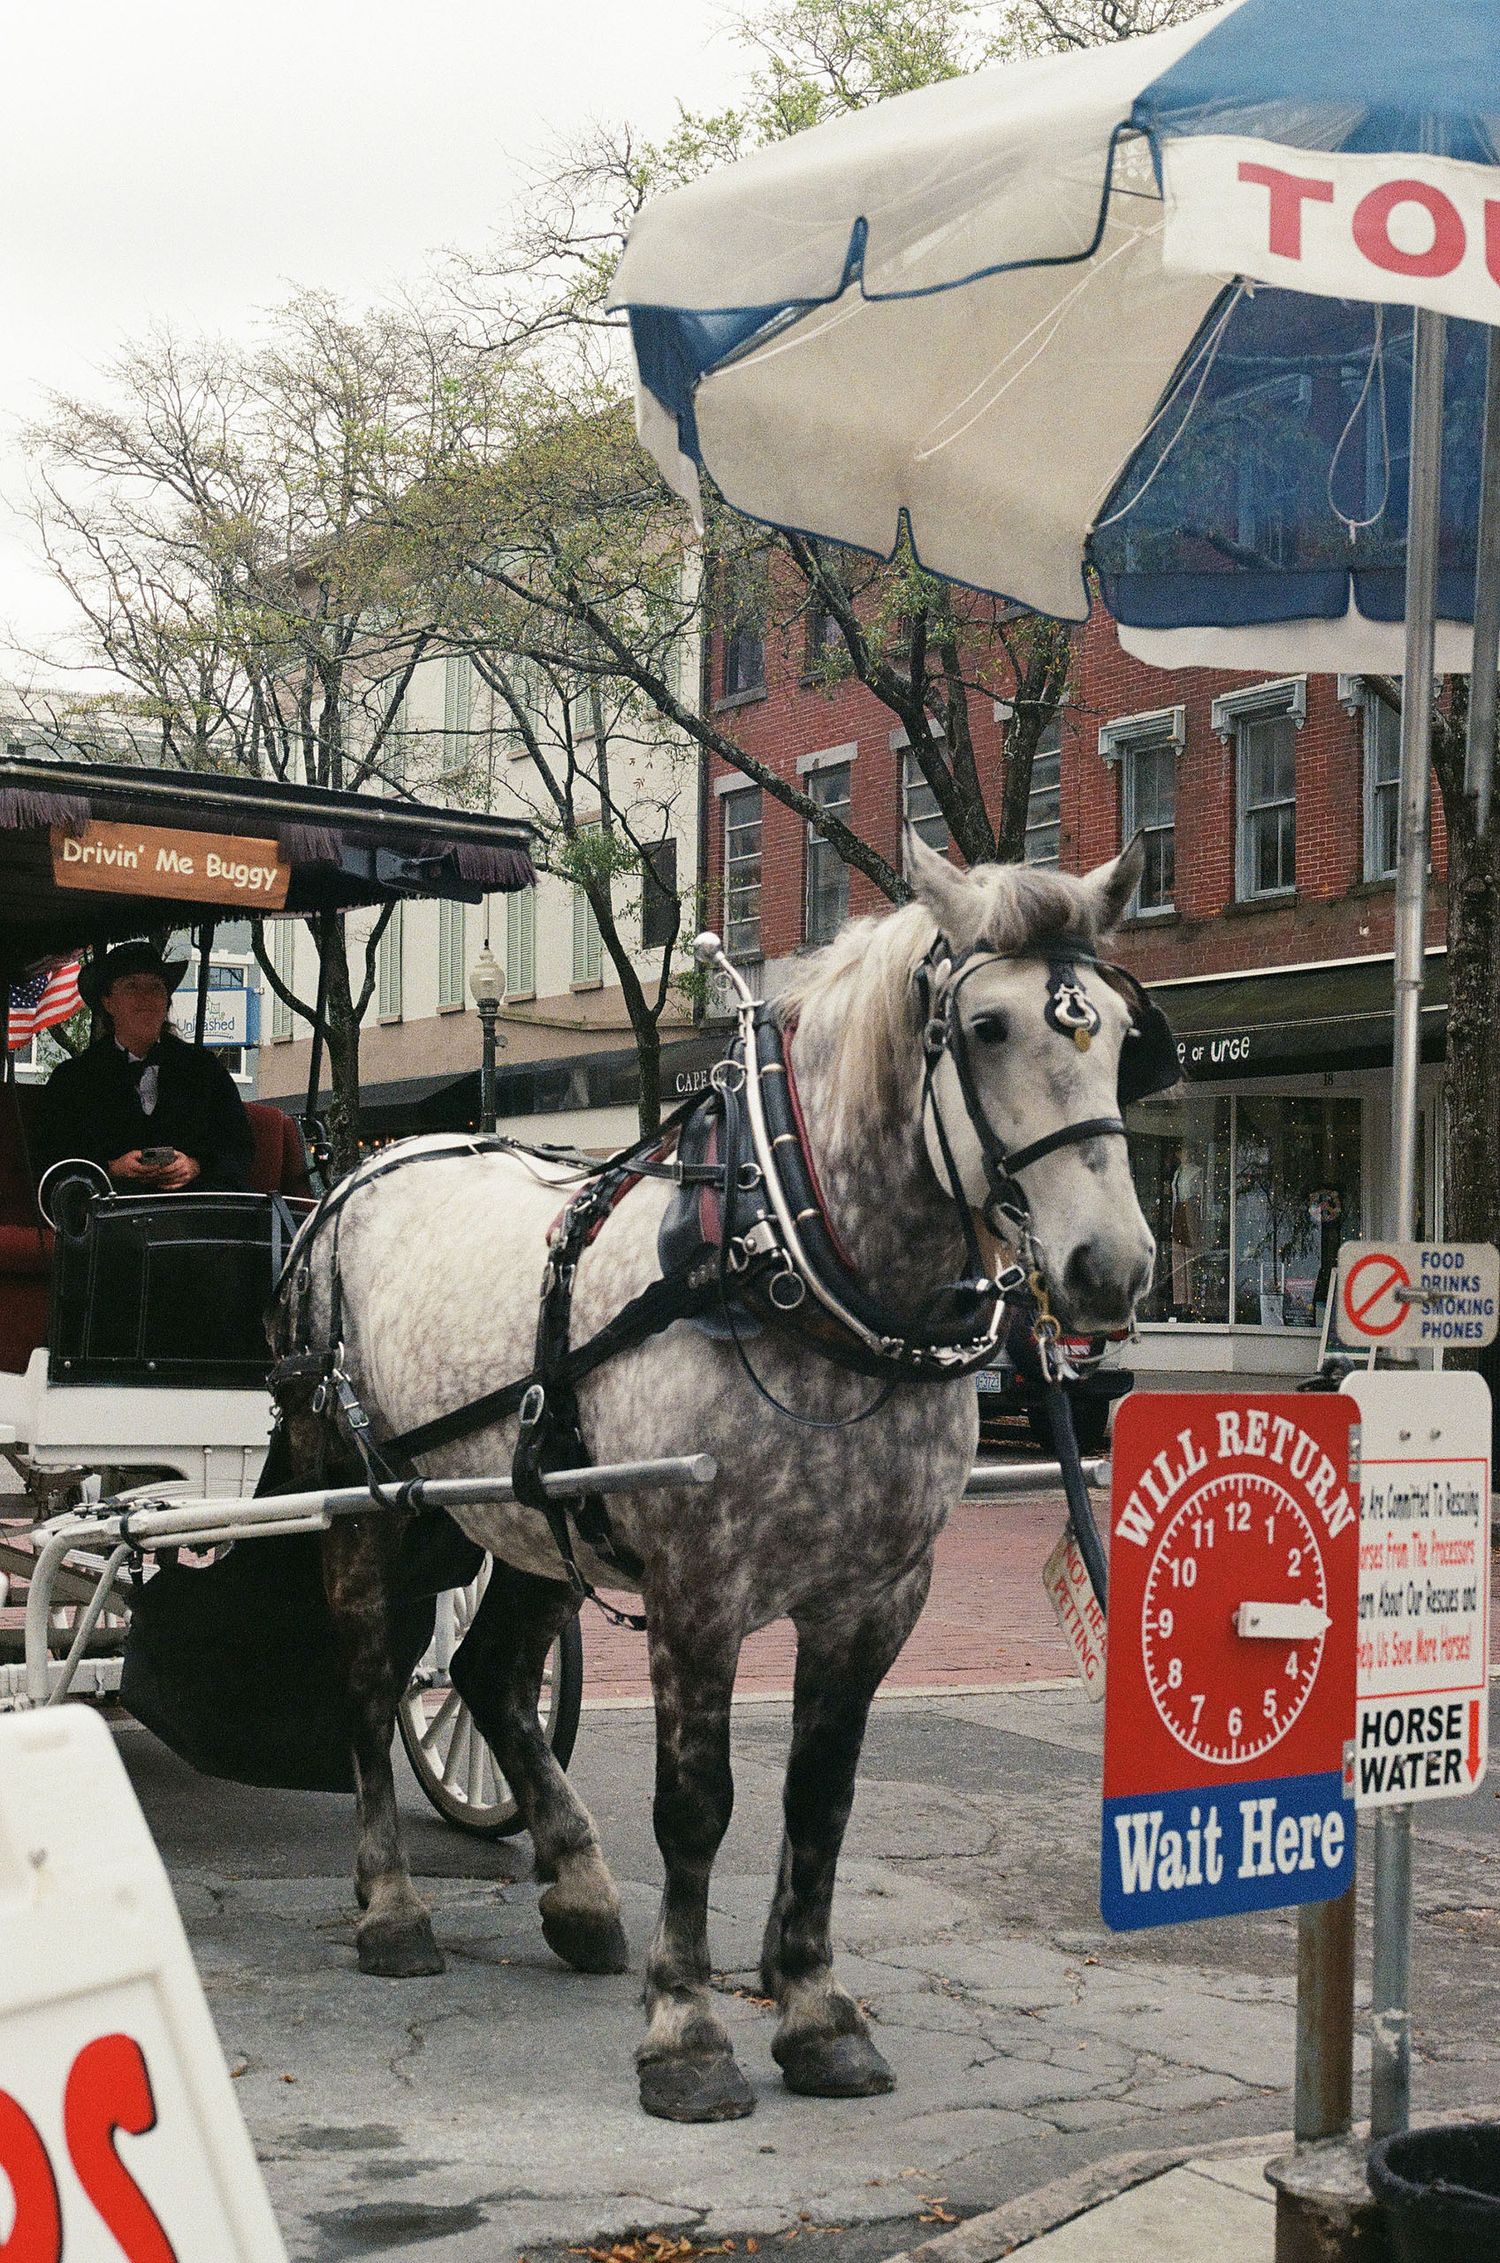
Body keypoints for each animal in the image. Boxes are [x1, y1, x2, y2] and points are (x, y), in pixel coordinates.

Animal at [271, 833, 1157, 2123]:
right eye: (987, 1026)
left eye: (1125, 1034)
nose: (1110, 1268)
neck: (790, 1259)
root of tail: (362, 1170)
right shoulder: (699, 1585)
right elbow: (698, 1803)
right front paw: (686, 2031)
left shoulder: (877, 1596)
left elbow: (819, 1798)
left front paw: (817, 2010)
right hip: (364, 1493)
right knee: (376, 1675)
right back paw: (390, 1904)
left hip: (538, 1511)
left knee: (488, 1673)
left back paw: (579, 1888)